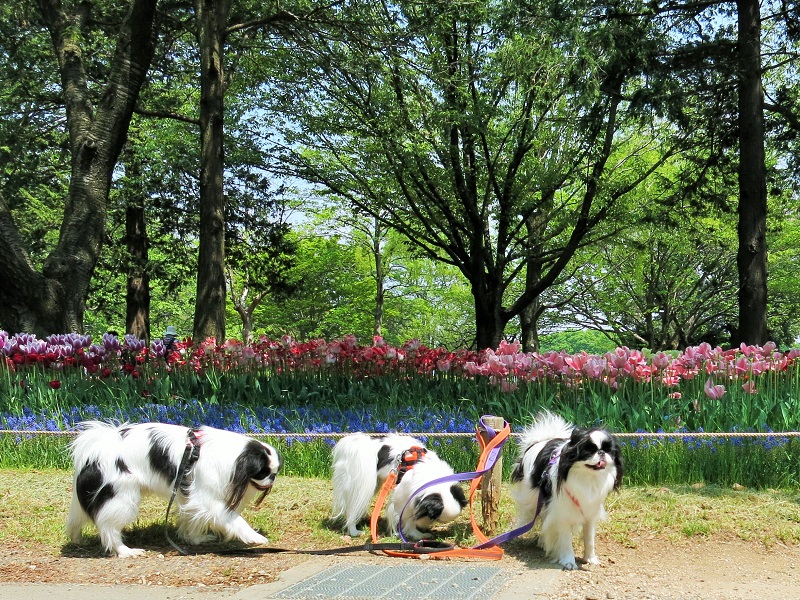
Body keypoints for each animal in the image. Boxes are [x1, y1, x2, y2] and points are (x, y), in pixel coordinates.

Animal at [67, 422, 282, 556]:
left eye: (274, 471)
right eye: (262, 472)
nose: (272, 478)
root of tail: (94, 449)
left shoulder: (190, 497)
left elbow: (191, 518)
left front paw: (196, 539)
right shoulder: (207, 498)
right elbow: (234, 519)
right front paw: (254, 537)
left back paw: (78, 539)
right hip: (122, 498)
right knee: (108, 528)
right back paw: (125, 551)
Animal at [332, 432, 468, 540]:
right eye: (434, 518)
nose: (426, 524)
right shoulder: (404, 497)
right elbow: (408, 517)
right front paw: (416, 534)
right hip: (363, 483)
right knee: (352, 508)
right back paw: (354, 531)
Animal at [510, 410, 620, 568]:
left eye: (608, 450)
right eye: (588, 451)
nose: (601, 452)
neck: (588, 479)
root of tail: (541, 440)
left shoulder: (590, 513)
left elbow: (589, 538)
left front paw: (590, 559)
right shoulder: (562, 513)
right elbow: (565, 538)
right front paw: (568, 561)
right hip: (534, 500)